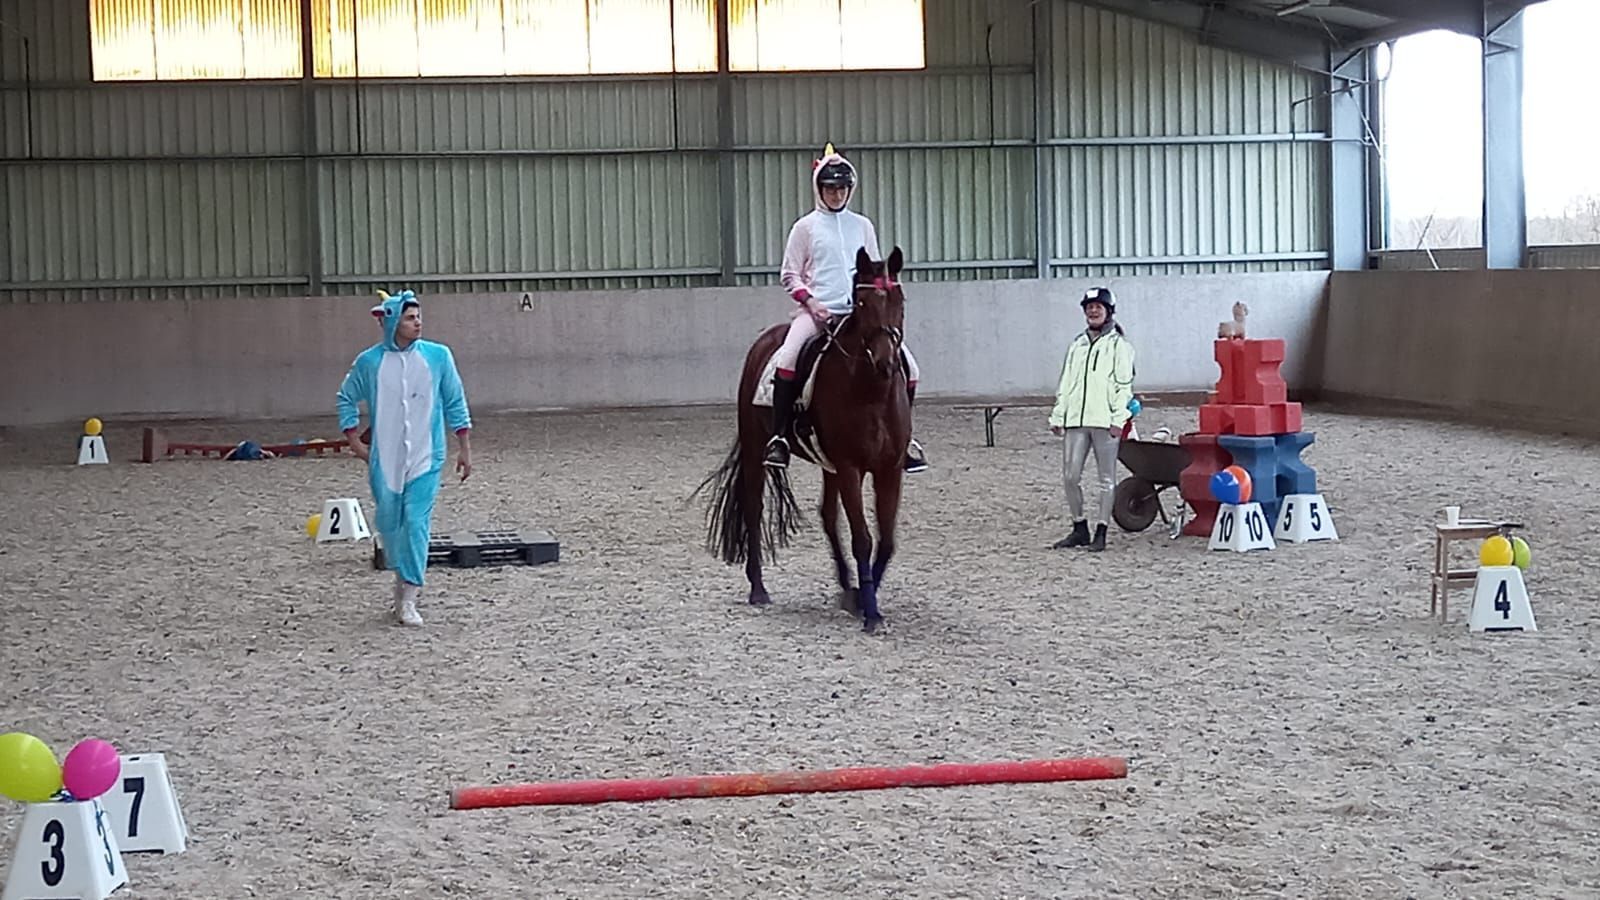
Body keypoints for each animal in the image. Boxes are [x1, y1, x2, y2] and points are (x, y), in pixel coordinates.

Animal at [695, 246, 912, 633]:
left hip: (829, 465)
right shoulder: (851, 467)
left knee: (827, 515)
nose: (886, 363)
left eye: (899, 300)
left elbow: (886, 541)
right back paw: (758, 589)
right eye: (861, 303)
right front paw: (870, 613)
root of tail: (766, 340)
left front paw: (864, 598)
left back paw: (847, 588)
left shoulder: (889, 468)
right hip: (757, 446)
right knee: (754, 508)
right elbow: (862, 538)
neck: (871, 392)